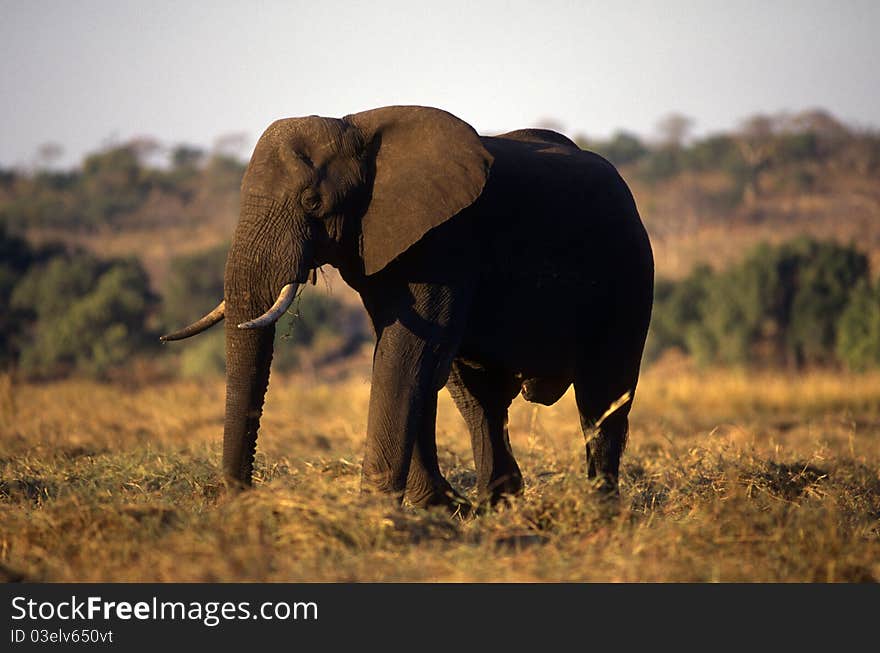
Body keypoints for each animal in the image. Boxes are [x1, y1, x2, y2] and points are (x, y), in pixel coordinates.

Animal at [162, 105, 648, 510]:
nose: (238, 499)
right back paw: (497, 507)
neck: (355, 128)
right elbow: (406, 356)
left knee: (603, 393)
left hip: (629, 271)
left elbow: (407, 355)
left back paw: (598, 508)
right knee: (480, 399)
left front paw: (376, 512)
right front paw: (434, 507)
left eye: (312, 202)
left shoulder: (444, 240)